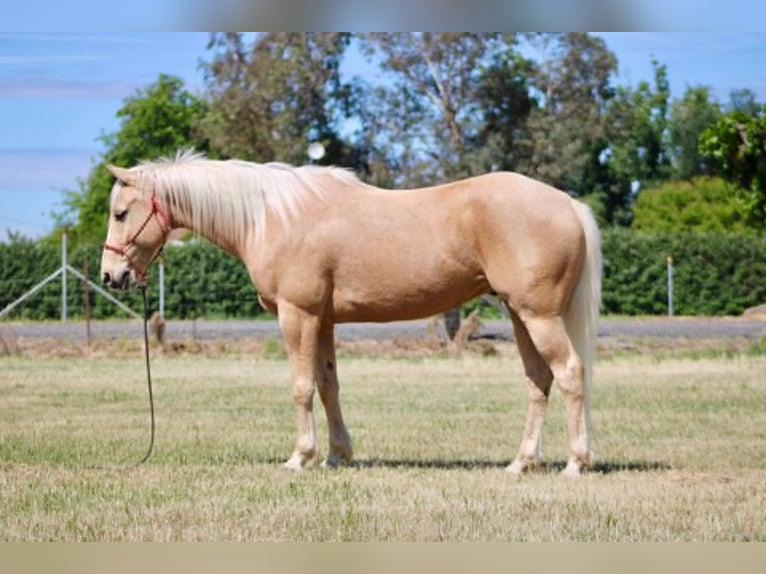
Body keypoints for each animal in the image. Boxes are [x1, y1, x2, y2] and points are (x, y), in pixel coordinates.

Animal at [101, 150, 602, 476]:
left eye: (121, 213)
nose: (111, 275)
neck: (271, 217)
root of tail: (567, 203)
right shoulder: (322, 321)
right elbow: (328, 386)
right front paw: (337, 455)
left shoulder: (297, 315)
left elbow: (302, 387)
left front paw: (300, 458)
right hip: (520, 314)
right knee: (539, 379)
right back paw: (522, 462)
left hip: (538, 315)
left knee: (570, 373)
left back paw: (575, 463)